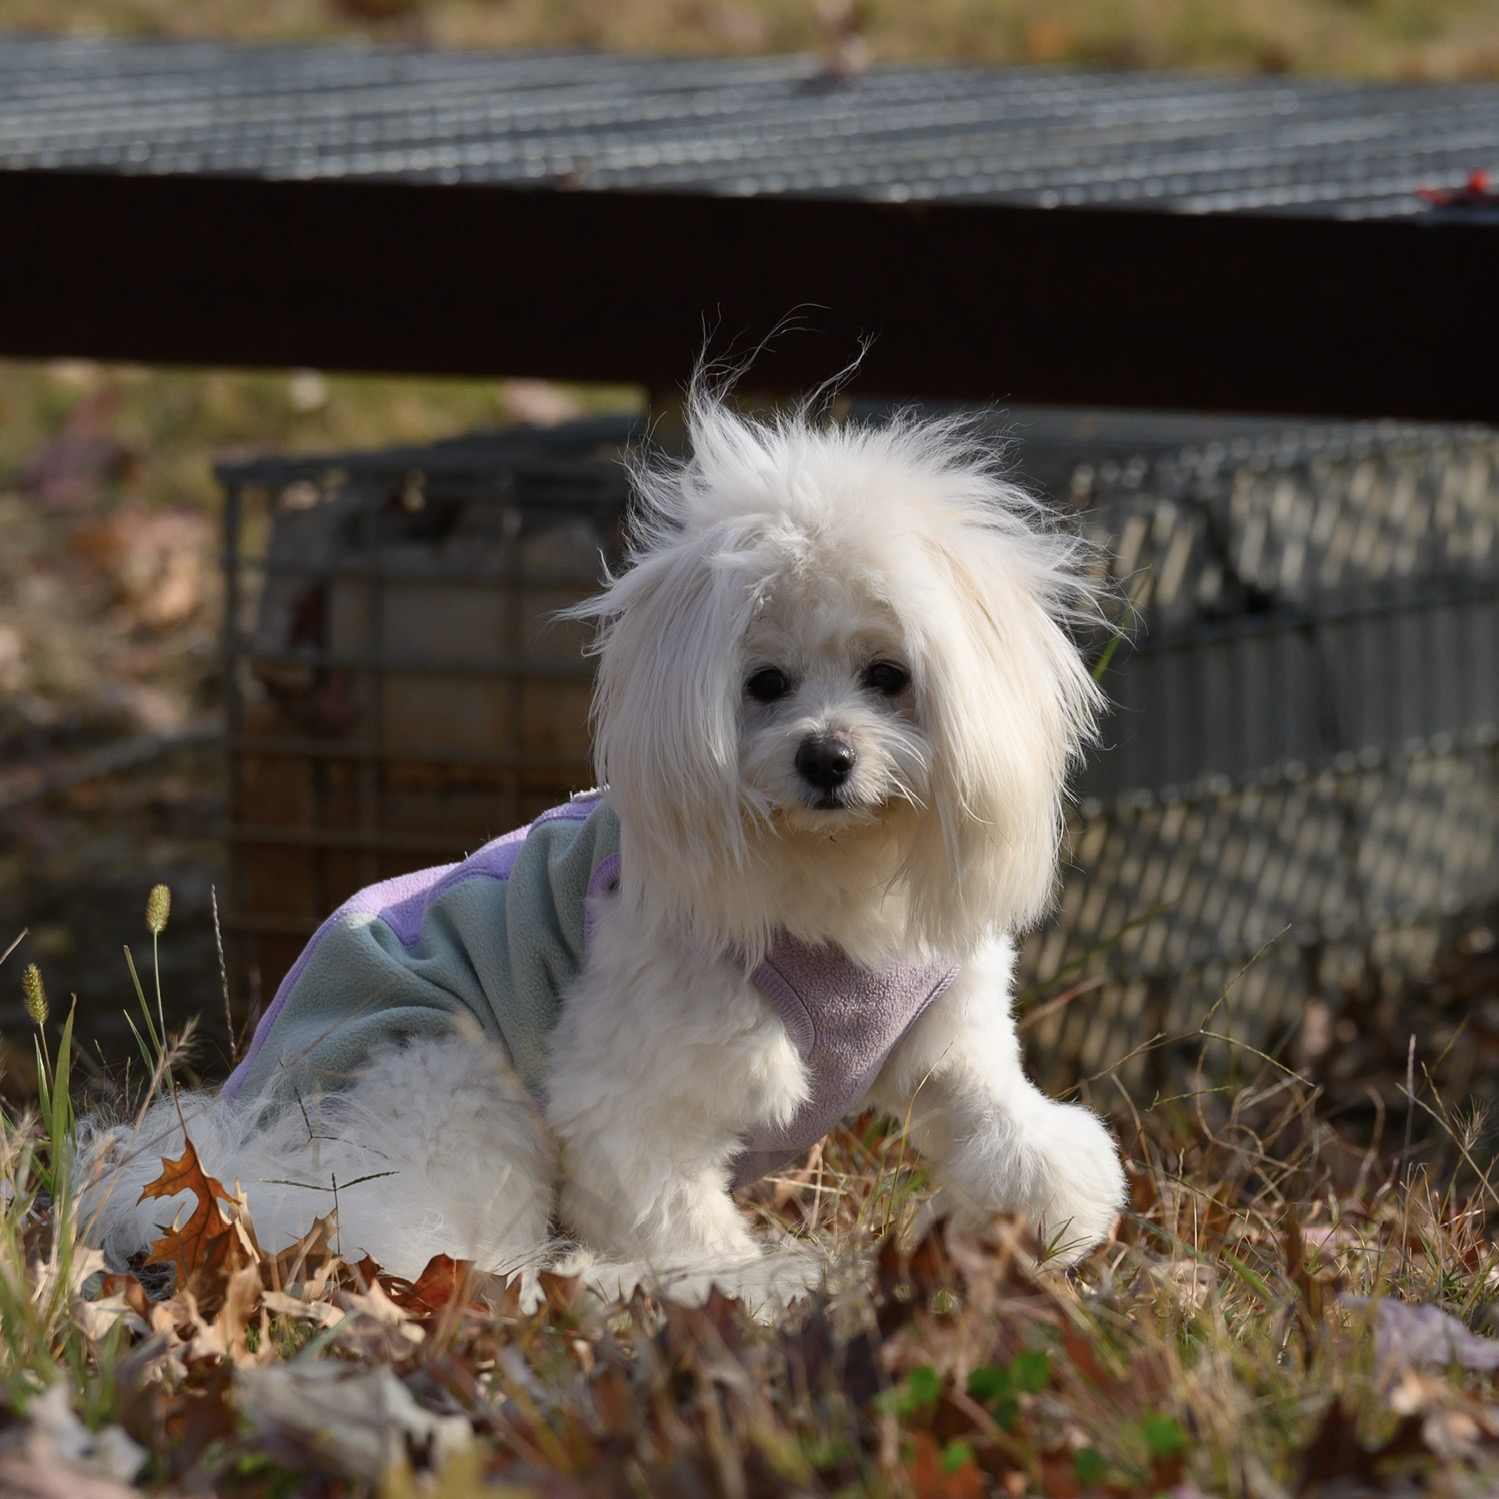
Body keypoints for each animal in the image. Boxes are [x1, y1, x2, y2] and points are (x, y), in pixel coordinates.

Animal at [84, 390, 1125, 1302]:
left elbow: (1002, 1123)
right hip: (454, 1081)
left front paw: (1053, 1216)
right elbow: (678, 1223)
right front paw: (734, 1292)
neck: (829, 886)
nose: (826, 756)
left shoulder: (949, 1038)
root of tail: (247, 1152)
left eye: (887, 674)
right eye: (764, 683)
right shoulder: (636, 1103)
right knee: (446, 1255)